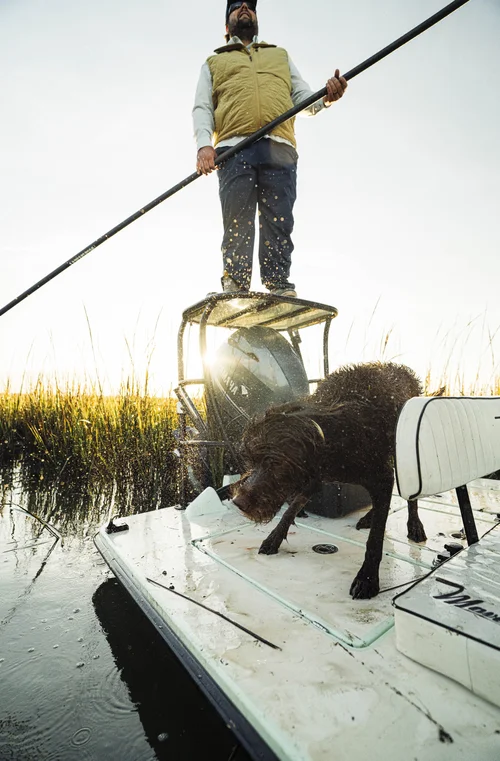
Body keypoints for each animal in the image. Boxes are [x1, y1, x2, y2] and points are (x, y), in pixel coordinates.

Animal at [231, 361, 428, 600]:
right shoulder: (314, 477)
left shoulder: (381, 476)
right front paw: (274, 538)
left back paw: (414, 524)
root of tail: (403, 368)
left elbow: (375, 539)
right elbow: (291, 509)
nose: (238, 502)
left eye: (276, 464)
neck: (332, 436)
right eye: (252, 459)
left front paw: (367, 578)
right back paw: (369, 517)